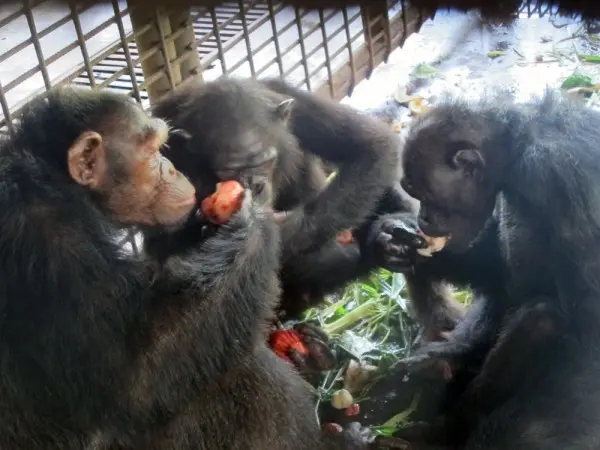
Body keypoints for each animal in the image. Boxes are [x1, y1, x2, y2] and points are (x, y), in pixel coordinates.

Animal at [0, 87, 370, 450]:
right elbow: (136, 376)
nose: (171, 167)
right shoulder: (44, 236)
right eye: (152, 151)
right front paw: (248, 218)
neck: (60, 182)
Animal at [148, 76, 466, 348]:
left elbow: (373, 147)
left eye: (264, 162)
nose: (256, 184)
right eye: (229, 171)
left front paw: (284, 232)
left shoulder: (294, 103)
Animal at [390, 89, 600, 448]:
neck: (515, 148)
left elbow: (586, 321)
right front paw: (388, 237)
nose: (423, 217)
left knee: (543, 317)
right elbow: (497, 265)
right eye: (413, 193)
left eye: (425, 193)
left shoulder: (558, 179)